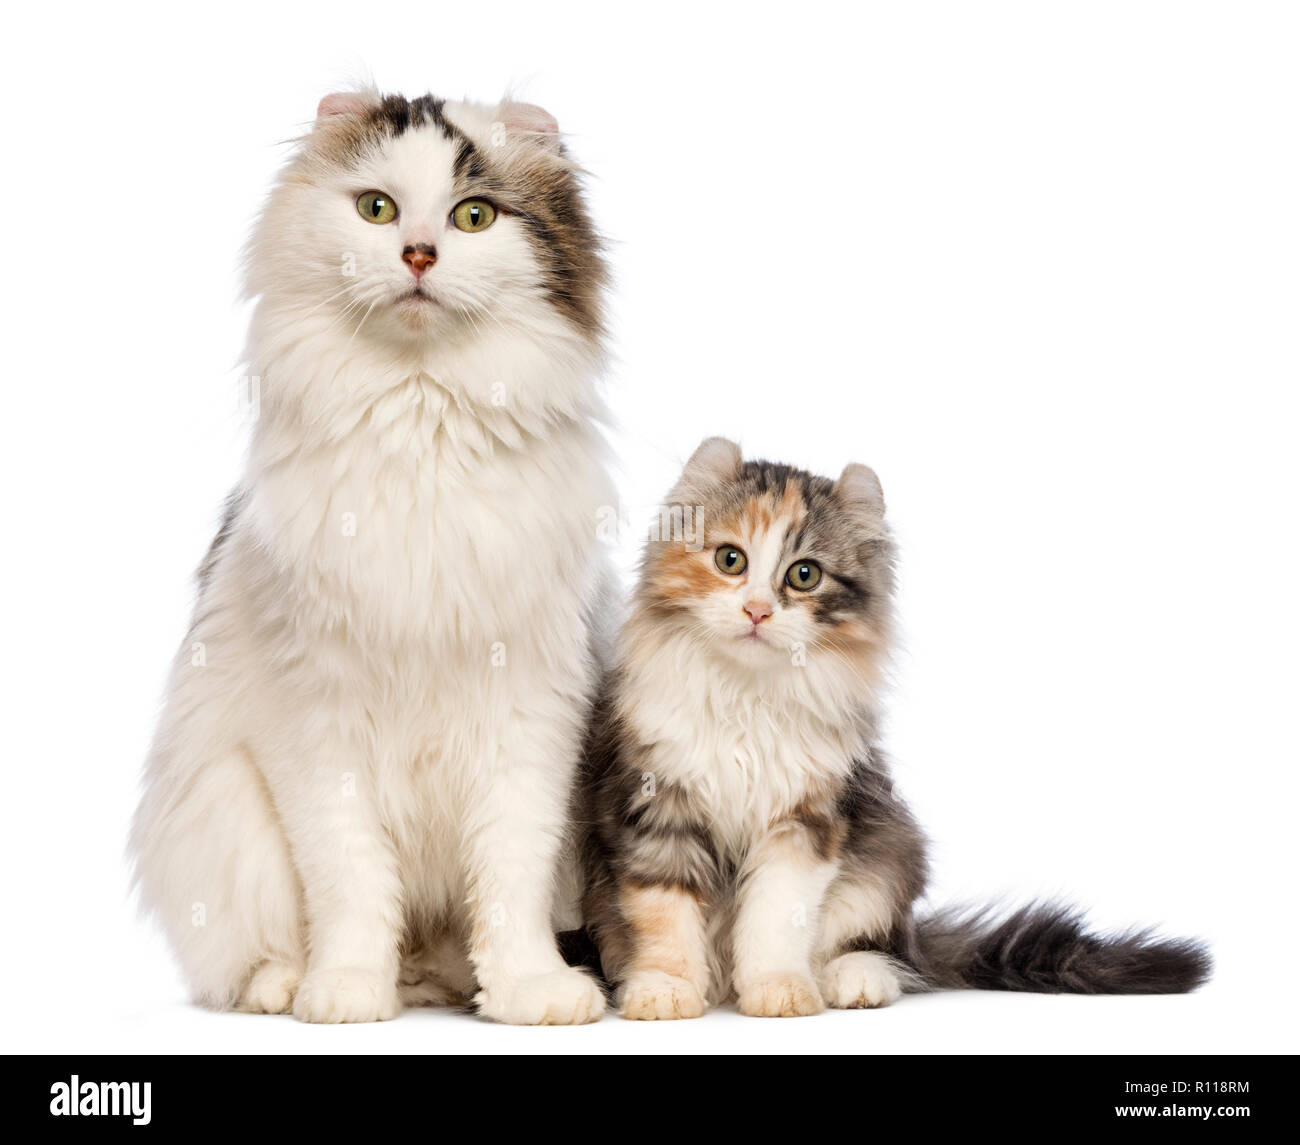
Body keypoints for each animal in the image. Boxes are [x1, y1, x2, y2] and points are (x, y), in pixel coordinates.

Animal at [131, 87, 613, 1018]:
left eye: (473, 215)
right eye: (378, 209)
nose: (418, 252)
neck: (419, 417)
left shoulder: (529, 717)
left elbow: (512, 881)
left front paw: (533, 989)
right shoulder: (315, 726)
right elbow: (351, 882)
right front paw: (347, 990)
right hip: (224, 823)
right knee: (261, 947)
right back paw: (294, 985)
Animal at [579, 436, 1206, 1018]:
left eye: (804, 575)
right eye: (730, 560)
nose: (757, 611)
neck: (748, 696)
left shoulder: (806, 823)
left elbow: (775, 919)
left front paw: (779, 989)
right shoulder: (656, 811)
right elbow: (666, 919)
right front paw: (666, 989)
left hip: (887, 858)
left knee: (879, 951)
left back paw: (854, 981)